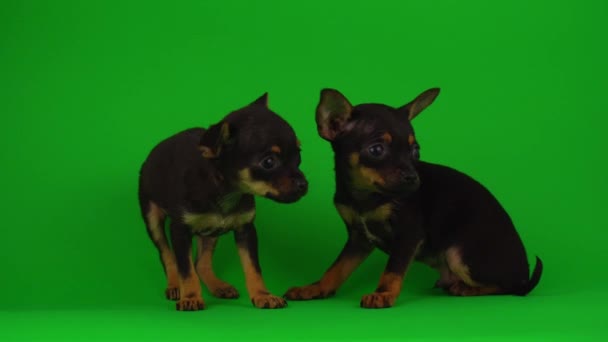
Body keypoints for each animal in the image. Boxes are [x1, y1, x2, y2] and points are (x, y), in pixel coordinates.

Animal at [140, 93, 306, 310]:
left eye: (298, 156)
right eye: (268, 162)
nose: (304, 184)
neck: (226, 191)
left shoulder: (245, 230)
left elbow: (253, 267)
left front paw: (263, 295)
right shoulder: (180, 231)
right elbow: (186, 269)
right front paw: (190, 297)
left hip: (211, 232)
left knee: (201, 263)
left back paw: (218, 286)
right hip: (152, 218)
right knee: (167, 255)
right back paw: (175, 286)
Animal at [282, 87, 544, 308]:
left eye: (415, 151)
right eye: (376, 150)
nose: (413, 177)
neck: (366, 197)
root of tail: (525, 273)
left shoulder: (408, 234)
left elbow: (393, 270)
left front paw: (383, 294)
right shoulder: (358, 239)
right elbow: (337, 268)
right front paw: (316, 288)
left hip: (457, 254)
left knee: (511, 287)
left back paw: (467, 289)